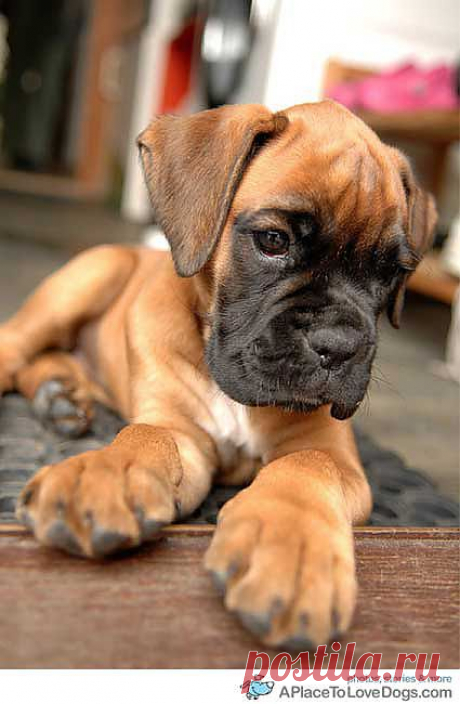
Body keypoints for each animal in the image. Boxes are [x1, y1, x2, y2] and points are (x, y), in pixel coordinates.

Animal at [0, 99, 434, 648]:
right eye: (272, 241)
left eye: (392, 273)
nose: (339, 346)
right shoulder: (183, 436)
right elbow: (147, 436)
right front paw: (106, 470)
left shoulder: (332, 453)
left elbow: (309, 464)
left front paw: (291, 543)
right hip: (88, 278)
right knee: (14, 348)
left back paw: (61, 396)